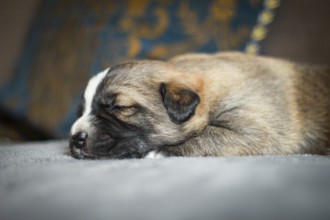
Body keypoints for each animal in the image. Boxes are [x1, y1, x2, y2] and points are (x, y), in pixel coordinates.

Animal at [68, 52, 328, 158]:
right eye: (80, 111)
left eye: (120, 107)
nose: (75, 139)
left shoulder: (257, 129)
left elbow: (209, 135)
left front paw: (159, 152)